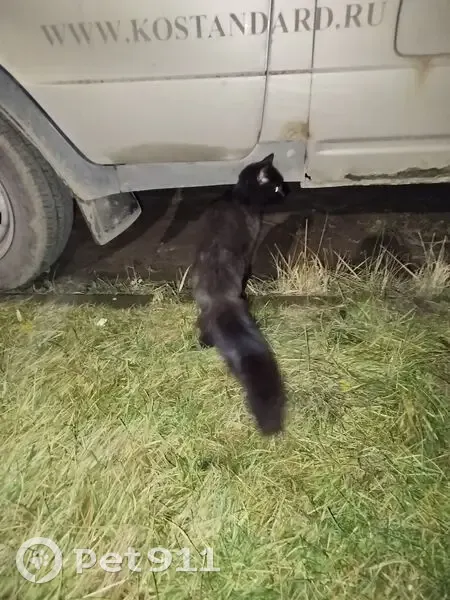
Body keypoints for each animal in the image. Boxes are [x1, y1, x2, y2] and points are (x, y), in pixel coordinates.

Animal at [191, 153, 289, 435]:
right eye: (276, 186)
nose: (287, 191)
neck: (239, 196)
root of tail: (219, 296)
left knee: (203, 322)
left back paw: (204, 342)